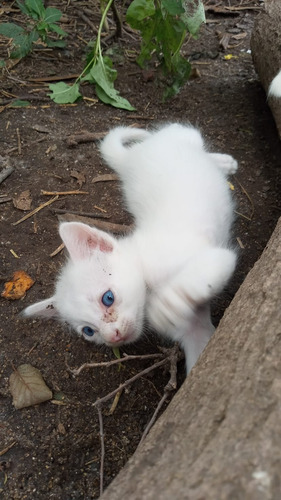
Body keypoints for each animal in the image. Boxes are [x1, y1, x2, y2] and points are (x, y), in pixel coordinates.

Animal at [23, 123, 236, 374]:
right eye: (89, 331)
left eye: (108, 298)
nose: (113, 336)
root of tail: (133, 156)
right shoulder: (196, 331)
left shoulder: (213, 254)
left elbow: (196, 276)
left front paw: (166, 307)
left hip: (180, 134)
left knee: (189, 136)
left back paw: (224, 161)